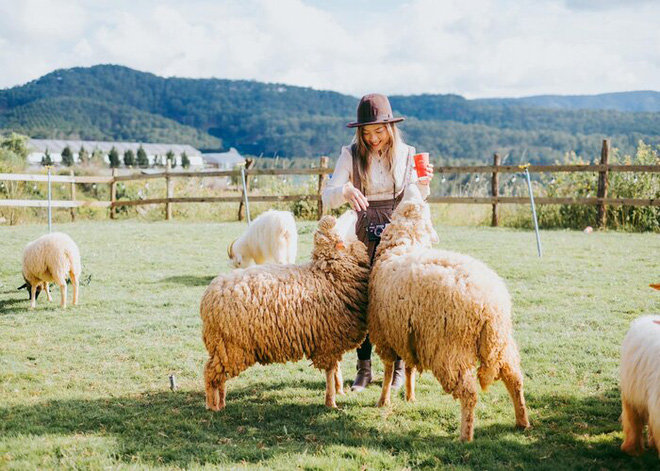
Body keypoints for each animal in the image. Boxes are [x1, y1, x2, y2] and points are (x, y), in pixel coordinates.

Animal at [201, 216, 372, 412]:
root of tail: (209, 295)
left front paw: (339, 390)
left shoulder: (333, 340)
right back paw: (212, 405)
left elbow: (336, 369)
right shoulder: (328, 341)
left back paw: (221, 402)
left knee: (218, 376)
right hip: (230, 345)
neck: (327, 274)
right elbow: (330, 372)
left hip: (222, 346)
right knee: (210, 374)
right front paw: (331, 401)